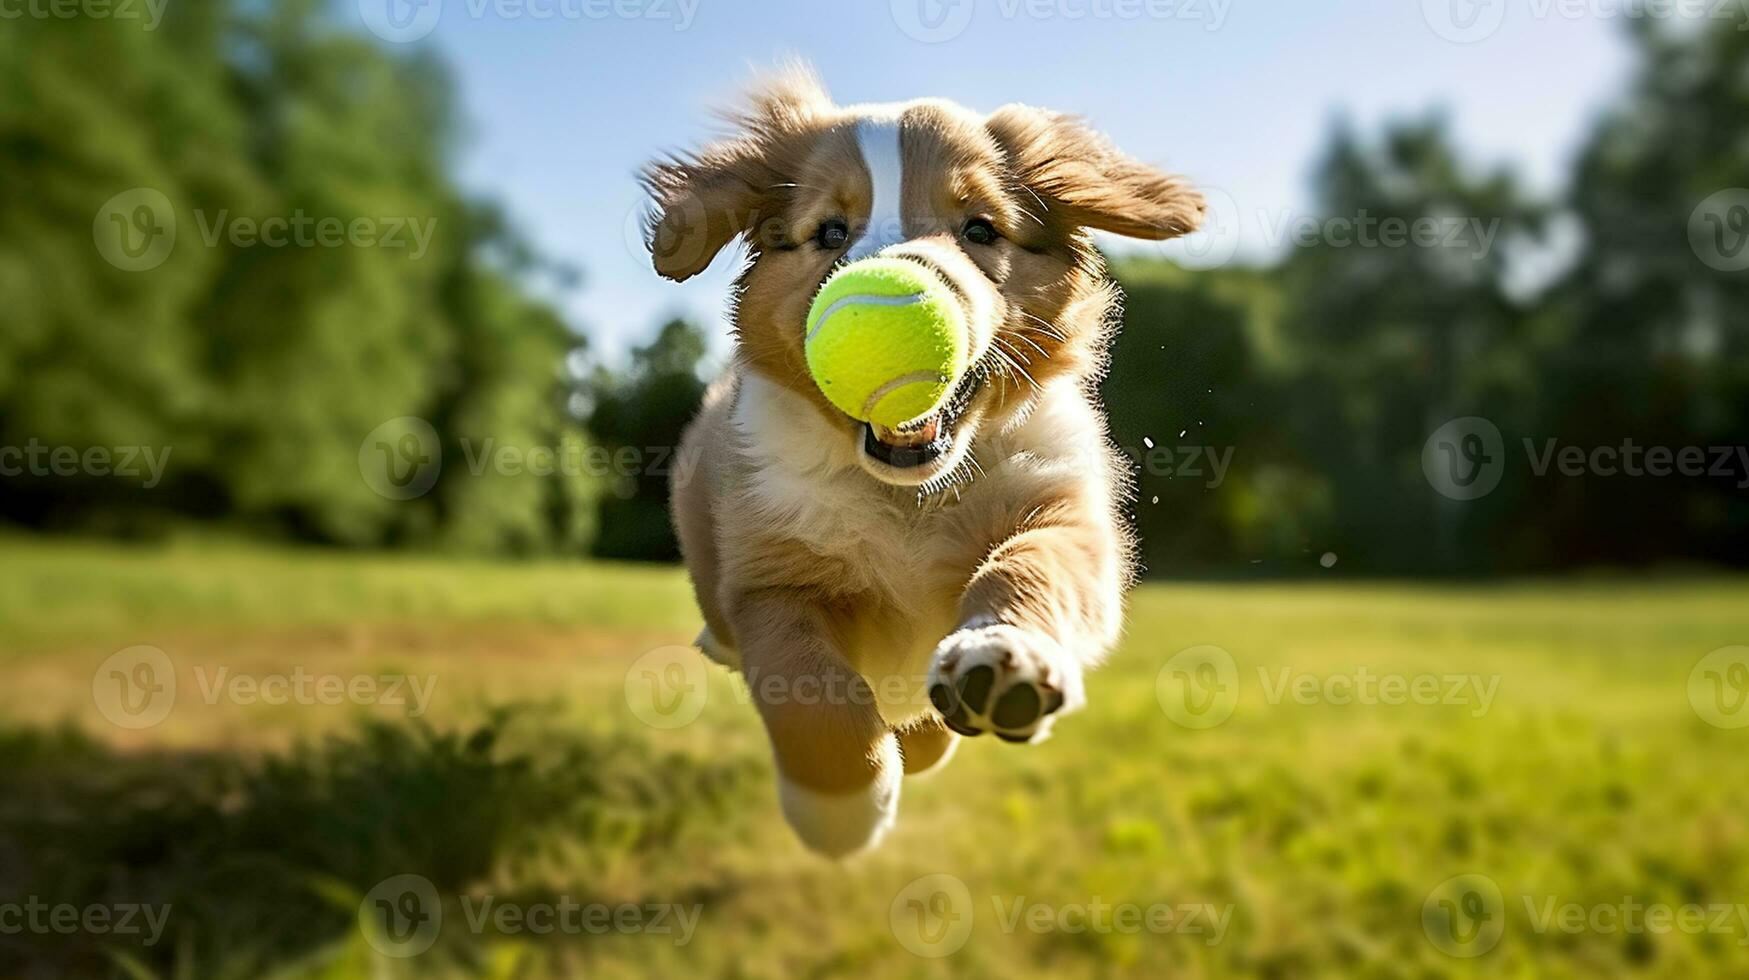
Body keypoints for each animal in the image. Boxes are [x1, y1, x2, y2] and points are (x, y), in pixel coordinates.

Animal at [643, 63, 1203, 857]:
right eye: (830, 231)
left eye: (980, 229)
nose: (898, 288)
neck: (909, 494)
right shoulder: (771, 577)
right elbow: (809, 687)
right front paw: (840, 810)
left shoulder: (1064, 512)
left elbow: (1028, 565)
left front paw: (1000, 657)